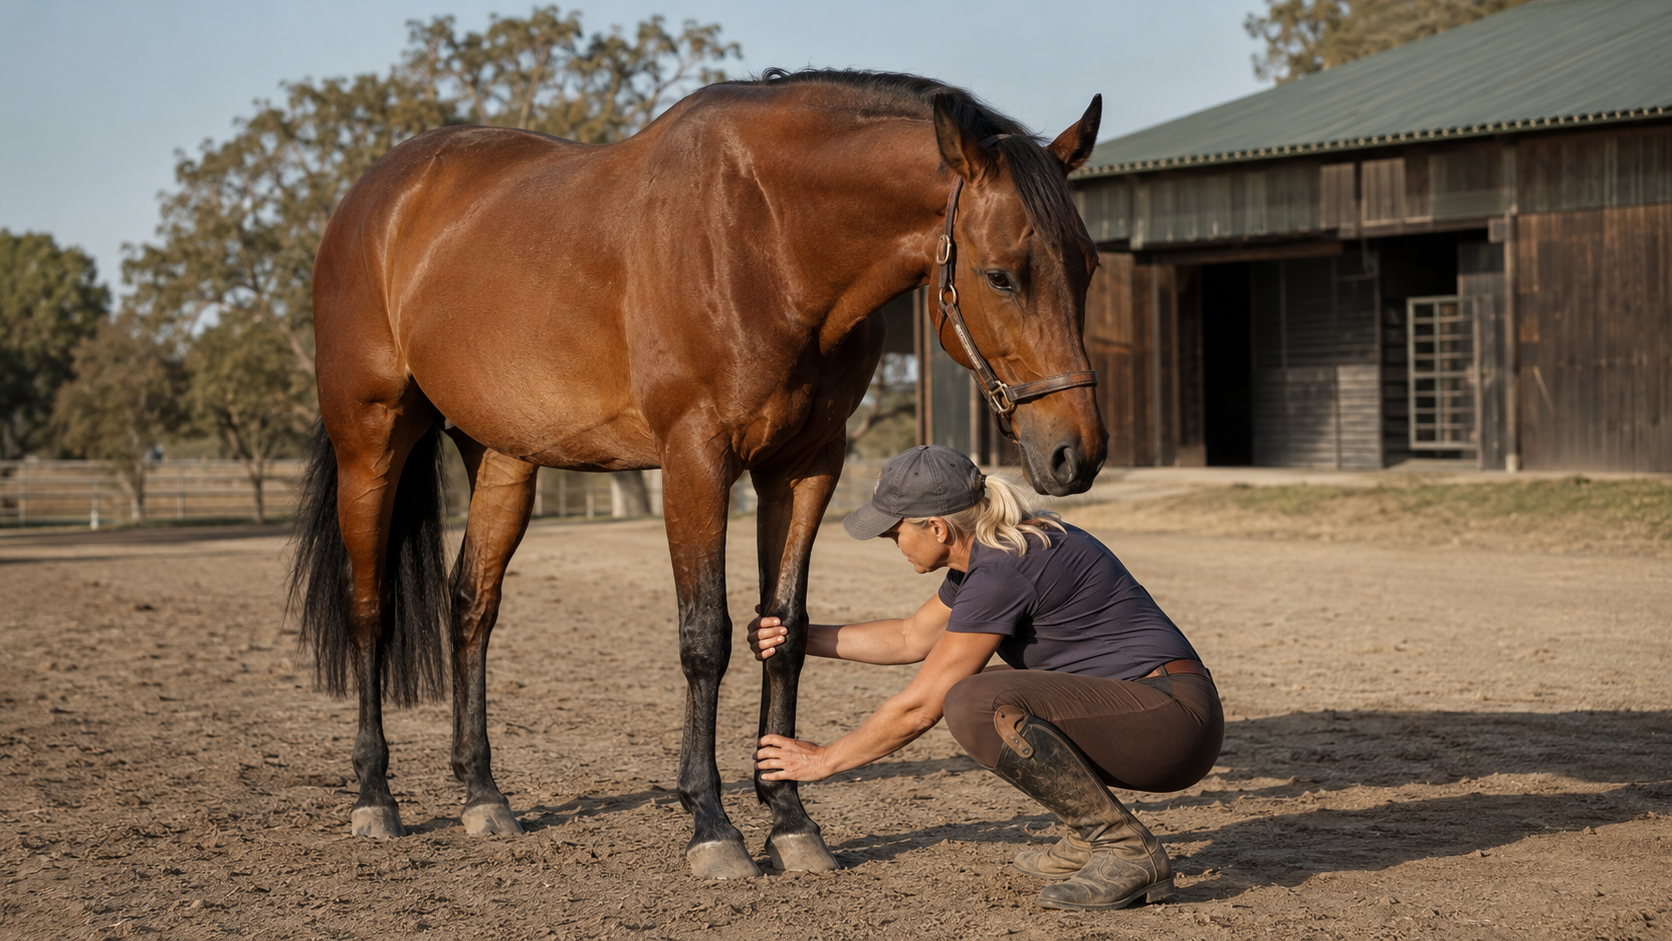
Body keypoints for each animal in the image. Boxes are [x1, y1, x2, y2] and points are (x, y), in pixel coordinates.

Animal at [288, 68, 1107, 880]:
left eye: (1089, 266)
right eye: (1000, 275)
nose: (1077, 453)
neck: (769, 236)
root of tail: (377, 195)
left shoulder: (806, 466)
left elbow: (784, 631)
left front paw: (789, 817)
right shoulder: (695, 458)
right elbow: (704, 638)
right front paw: (712, 824)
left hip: (502, 457)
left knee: (471, 607)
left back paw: (483, 795)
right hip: (372, 440)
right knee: (371, 609)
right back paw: (375, 797)